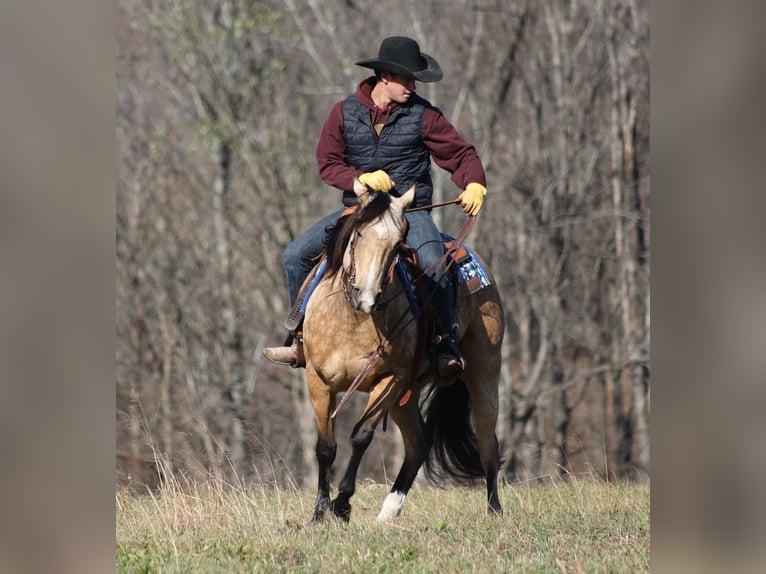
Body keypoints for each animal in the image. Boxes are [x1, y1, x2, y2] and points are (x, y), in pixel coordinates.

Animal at [304, 182, 508, 524]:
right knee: (418, 443)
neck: (352, 319)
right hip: (407, 396)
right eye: (359, 233)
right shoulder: (317, 380)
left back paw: (494, 510)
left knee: (486, 442)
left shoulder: (390, 380)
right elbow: (326, 448)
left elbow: (360, 436)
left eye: (398, 243)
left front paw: (342, 504)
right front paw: (320, 513)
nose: (367, 296)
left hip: (484, 374)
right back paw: (388, 511)